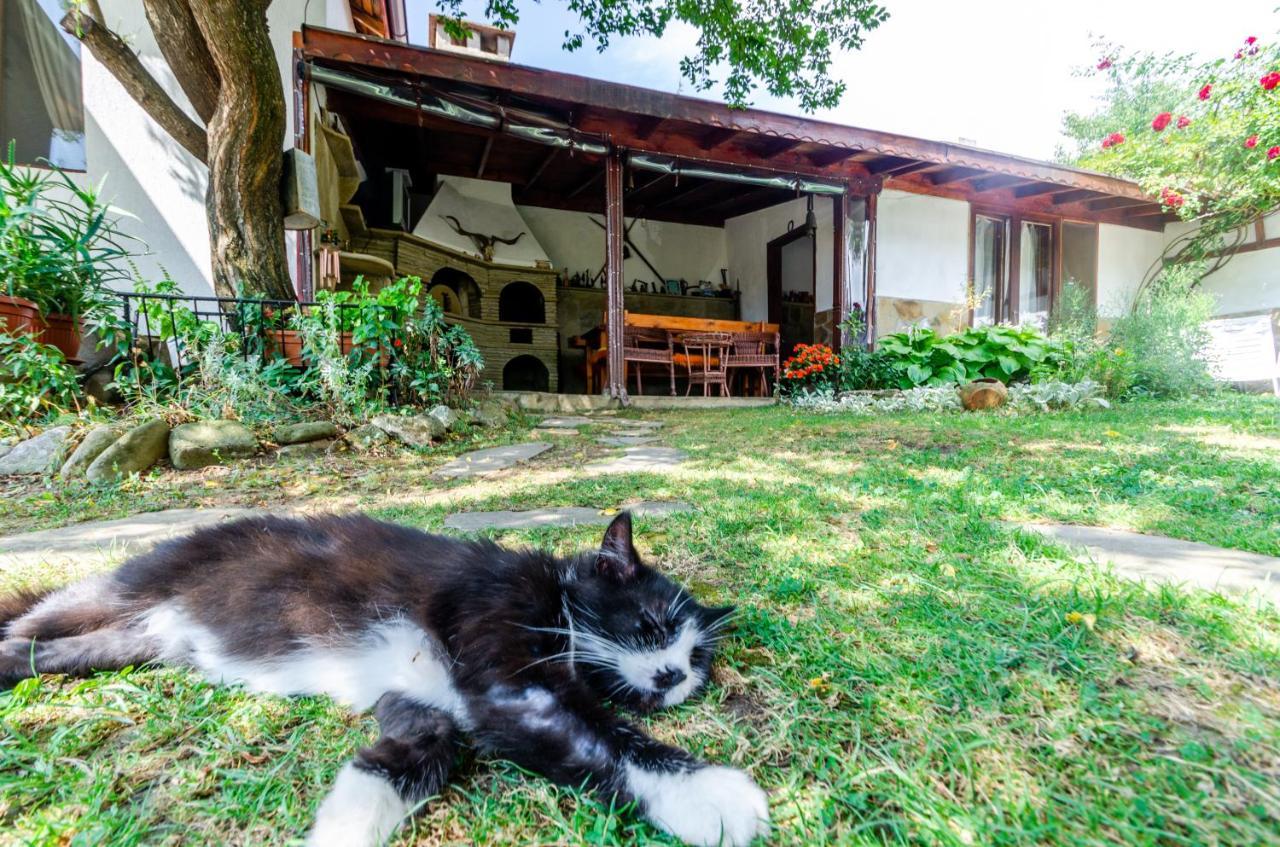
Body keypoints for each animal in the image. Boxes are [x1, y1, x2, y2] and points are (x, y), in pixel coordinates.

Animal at [0, 511, 768, 847]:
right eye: (649, 626)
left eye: (697, 661)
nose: (672, 674)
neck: (552, 601)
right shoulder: (509, 673)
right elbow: (598, 733)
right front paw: (708, 792)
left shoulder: (423, 705)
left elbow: (410, 756)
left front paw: (343, 828)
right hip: (123, 586)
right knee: (38, 619)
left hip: (129, 640)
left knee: (55, 651)